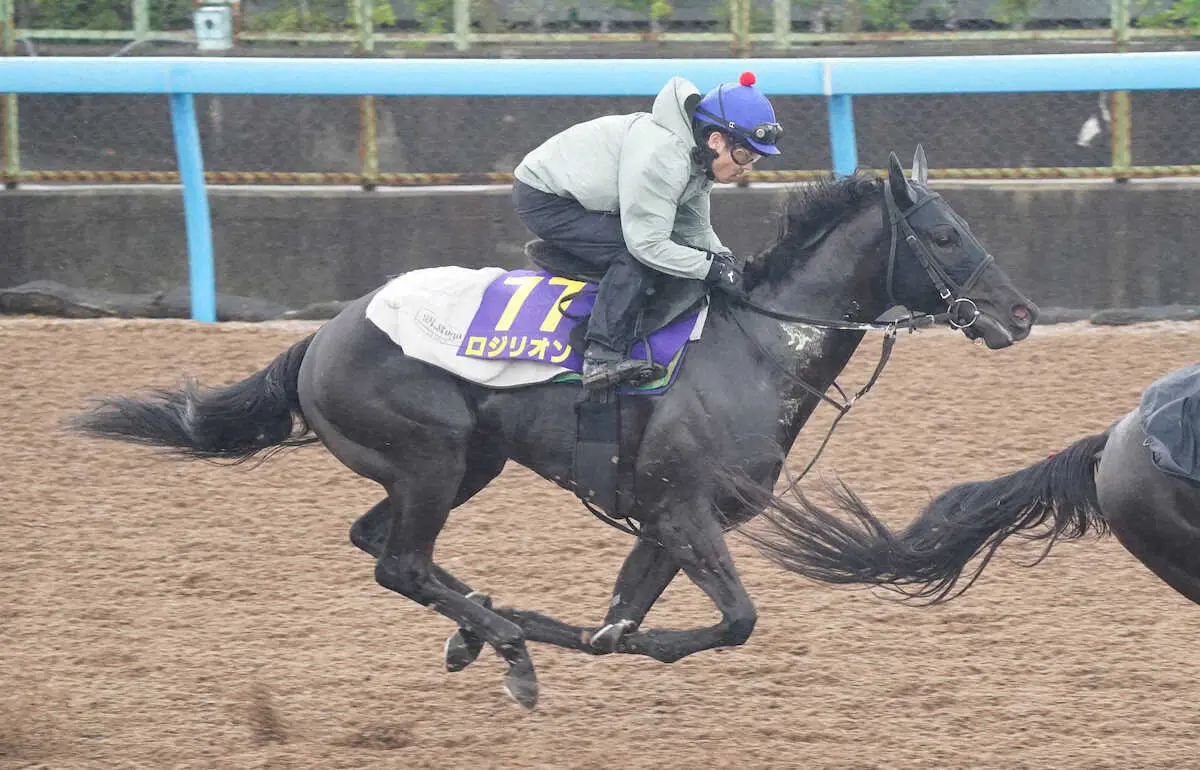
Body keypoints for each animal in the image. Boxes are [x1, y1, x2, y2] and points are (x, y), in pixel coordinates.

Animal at [70, 149, 1036, 710]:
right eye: (946, 235)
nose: (1022, 314)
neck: (756, 345)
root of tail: (325, 333)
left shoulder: (668, 522)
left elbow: (626, 616)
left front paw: (568, 628)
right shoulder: (682, 511)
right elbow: (732, 621)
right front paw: (561, 638)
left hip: (467, 463)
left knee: (378, 542)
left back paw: (481, 625)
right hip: (431, 457)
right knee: (398, 561)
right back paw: (503, 645)